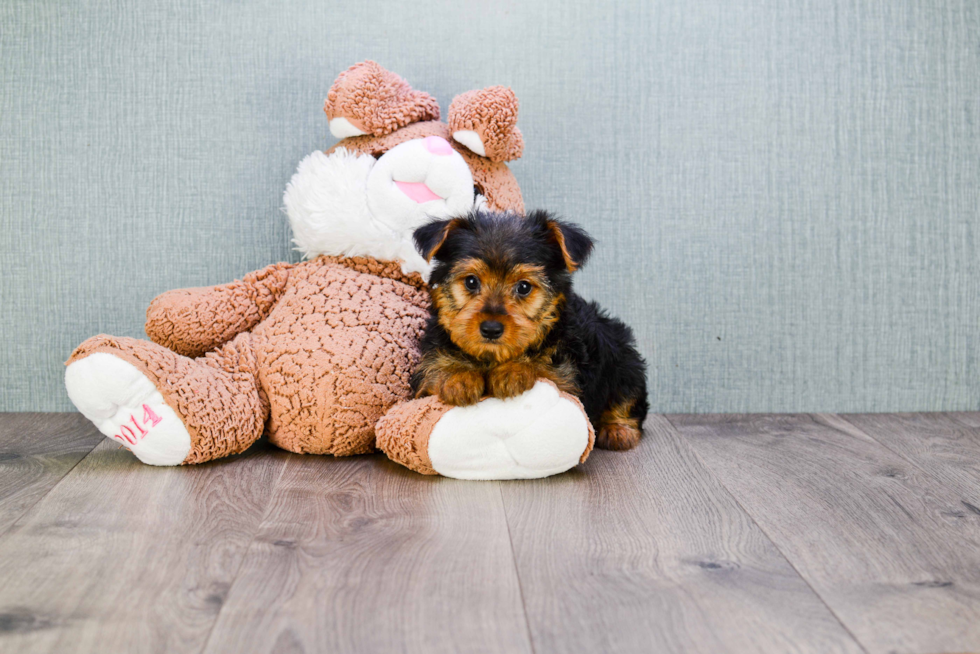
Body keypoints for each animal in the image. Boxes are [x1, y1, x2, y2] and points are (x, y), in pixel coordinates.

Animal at [410, 209, 648, 452]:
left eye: (523, 287)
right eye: (471, 281)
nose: (491, 329)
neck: (492, 357)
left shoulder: (566, 376)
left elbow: (545, 368)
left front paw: (514, 370)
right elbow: (434, 370)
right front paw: (458, 376)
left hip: (623, 361)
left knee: (628, 397)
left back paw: (618, 430)